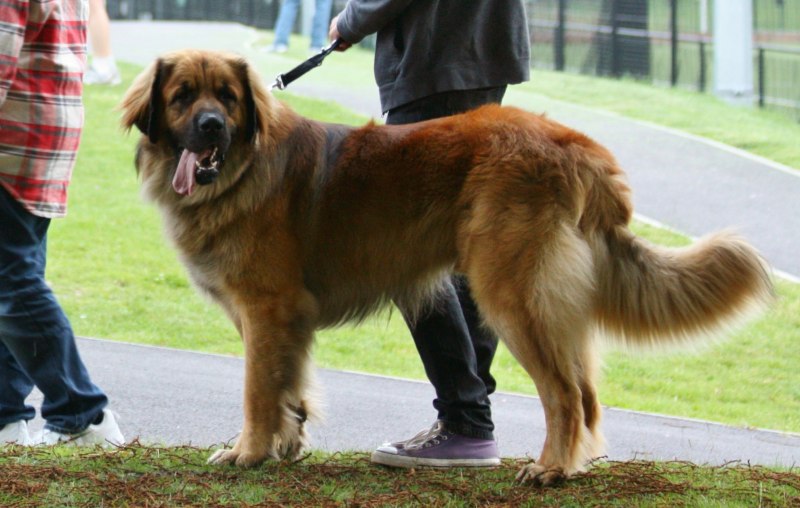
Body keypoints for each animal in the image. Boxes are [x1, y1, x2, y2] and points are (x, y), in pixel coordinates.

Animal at [120, 49, 774, 486]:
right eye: (183, 96)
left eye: (226, 98)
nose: (211, 127)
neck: (242, 170)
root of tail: (576, 148)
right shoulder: (283, 320)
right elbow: (289, 386)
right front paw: (288, 441)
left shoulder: (267, 309)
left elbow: (258, 390)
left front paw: (248, 452)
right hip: (551, 303)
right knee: (586, 394)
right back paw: (575, 463)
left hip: (511, 293)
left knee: (563, 393)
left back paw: (550, 468)